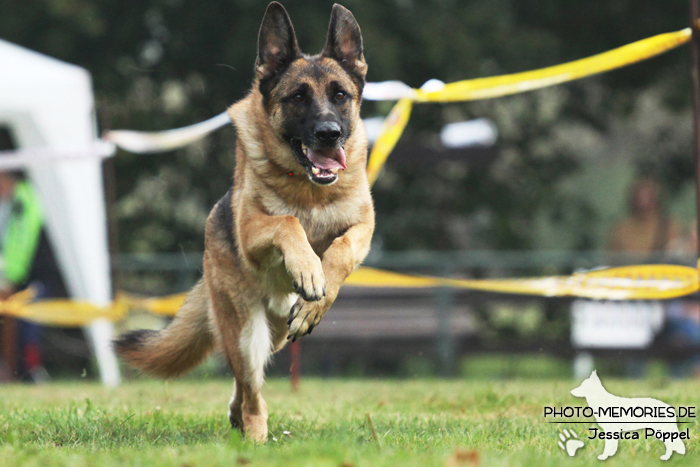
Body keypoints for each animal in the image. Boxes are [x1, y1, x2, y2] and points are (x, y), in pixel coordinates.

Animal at [115, 2, 374, 442]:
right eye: (298, 97)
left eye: (340, 95)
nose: (329, 133)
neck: (309, 191)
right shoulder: (253, 233)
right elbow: (287, 222)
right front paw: (307, 268)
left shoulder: (364, 228)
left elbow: (340, 251)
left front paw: (316, 298)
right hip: (246, 333)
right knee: (249, 385)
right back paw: (254, 435)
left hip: (277, 334)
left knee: (242, 381)